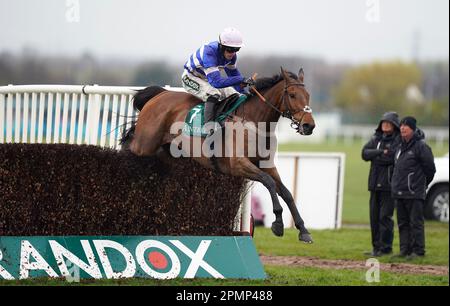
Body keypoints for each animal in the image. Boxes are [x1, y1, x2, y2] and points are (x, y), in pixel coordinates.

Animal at [121, 67, 314, 244]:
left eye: (308, 95)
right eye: (292, 95)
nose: (309, 126)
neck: (253, 122)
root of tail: (160, 94)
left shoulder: (266, 165)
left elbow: (286, 192)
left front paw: (303, 231)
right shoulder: (239, 165)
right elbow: (269, 182)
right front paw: (278, 224)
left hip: (167, 152)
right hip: (143, 145)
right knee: (129, 147)